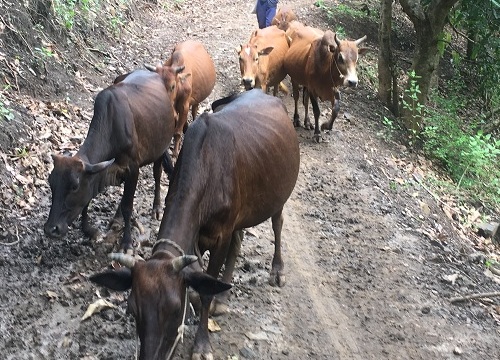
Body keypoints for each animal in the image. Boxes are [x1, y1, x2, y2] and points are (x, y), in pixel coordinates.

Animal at [43, 69, 176, 252]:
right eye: (51, 182)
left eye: (74, 186)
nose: (51, 229)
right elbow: (88, 199)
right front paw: (89, 230)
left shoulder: (133, 168)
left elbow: (128, 206)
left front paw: (126, 242)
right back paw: (116, 218)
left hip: (161, 147)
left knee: (157, 173)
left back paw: (156, 208)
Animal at [89, 89, 300, 360]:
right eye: (132, 309)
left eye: (174, 308)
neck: (206, 168)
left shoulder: (221, 234)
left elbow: (207, 288)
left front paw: (201, 343)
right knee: (239, 241)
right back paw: (225, 296)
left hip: (278, 197)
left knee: (277, 224)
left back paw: (277, 270)